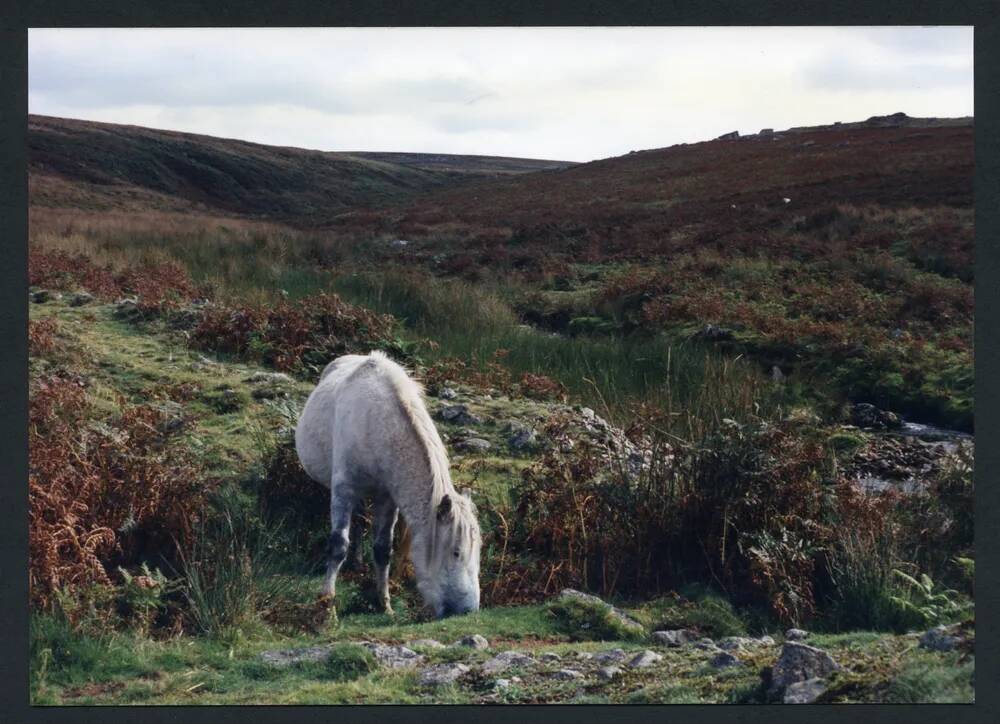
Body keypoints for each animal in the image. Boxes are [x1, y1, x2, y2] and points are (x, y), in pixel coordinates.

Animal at [292, 350, 480, 616]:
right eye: (456, 552)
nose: (467, 610)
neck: (378, 427)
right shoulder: (343, 490)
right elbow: (338, 544)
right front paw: (327, 602)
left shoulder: (387, 498)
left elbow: (382, 550)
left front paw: (384, 603)